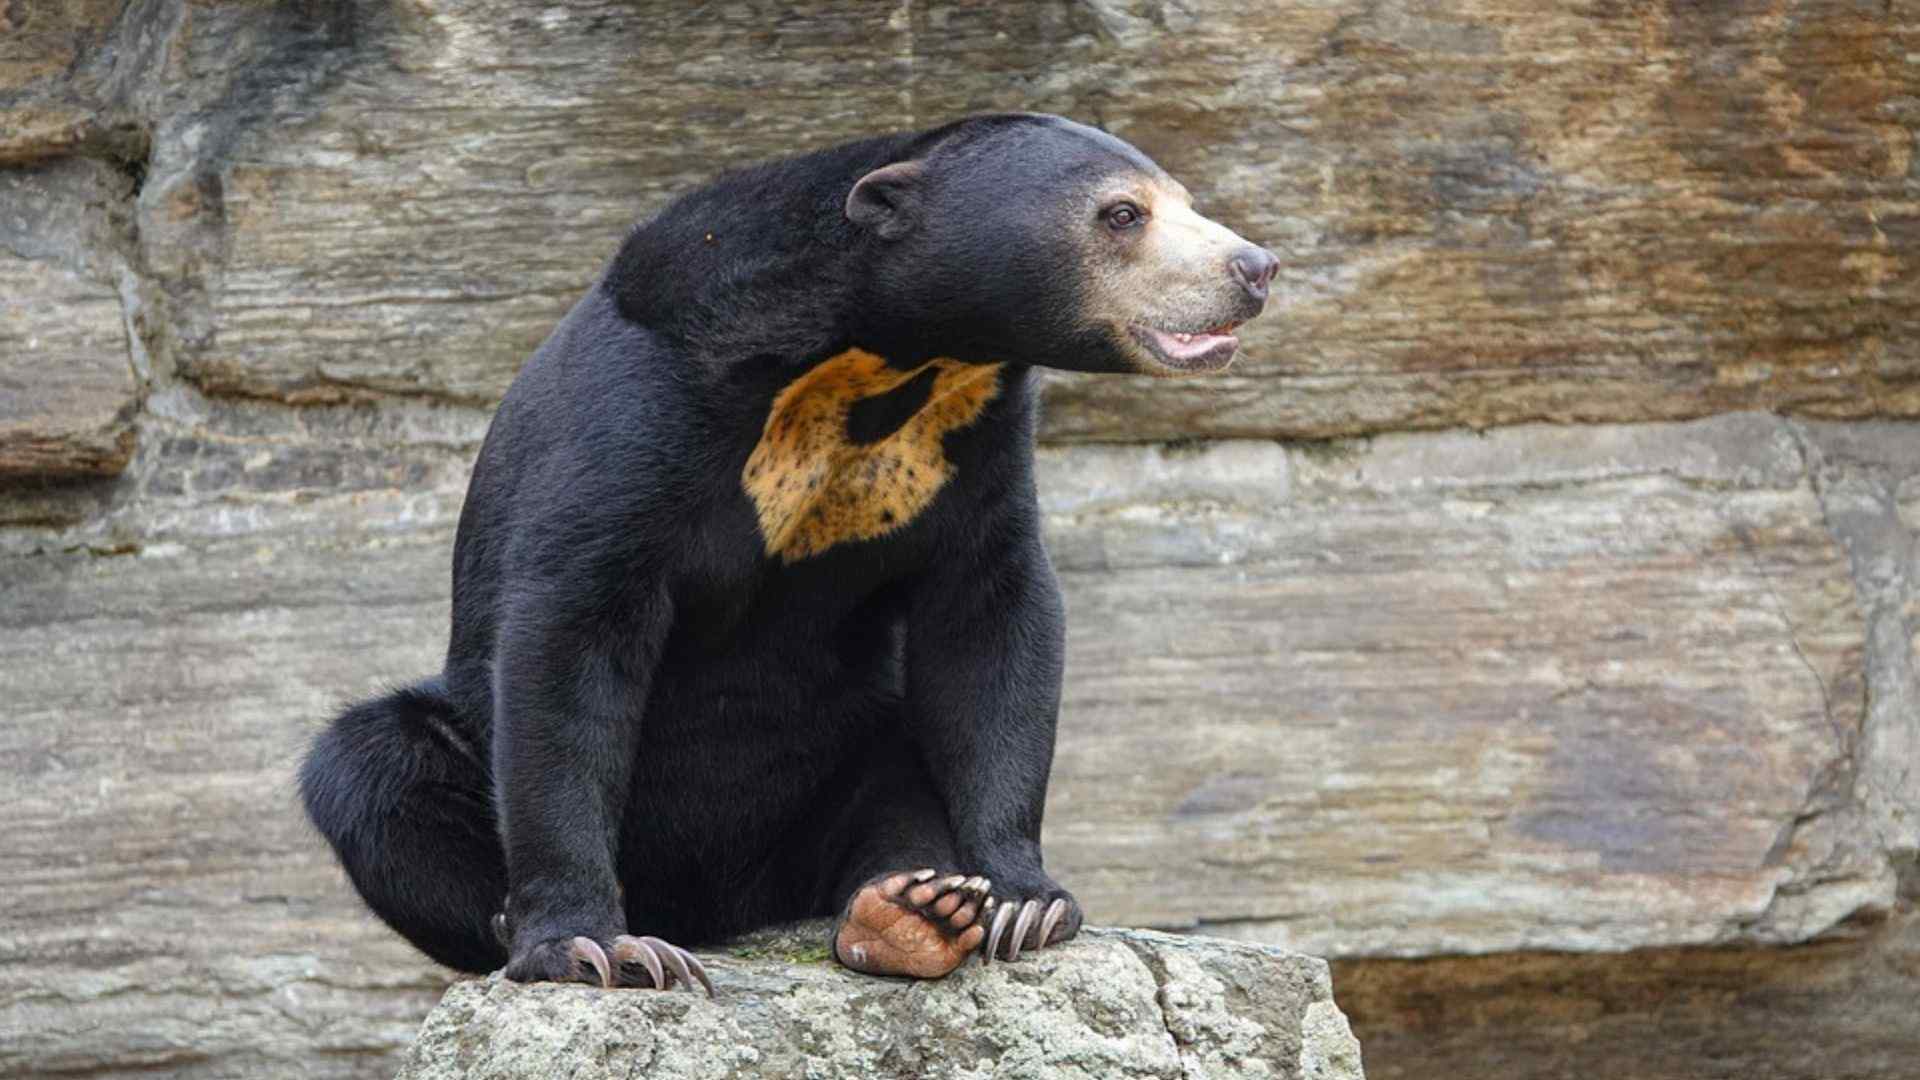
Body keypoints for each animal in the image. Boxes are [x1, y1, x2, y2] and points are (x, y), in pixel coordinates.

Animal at [298, 113, 1278, 992]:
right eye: (1123, 214)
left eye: (1186, 202)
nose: (1256, 268)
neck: (889, 359)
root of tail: (724, 908)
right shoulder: (640, 411)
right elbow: (570, 630)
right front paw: (592, 948)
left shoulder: (973, 439)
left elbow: (993, 618)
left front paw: (1023, 901)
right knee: (373, 766)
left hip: (839, 751)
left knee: (890, 783)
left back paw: (910, 912)